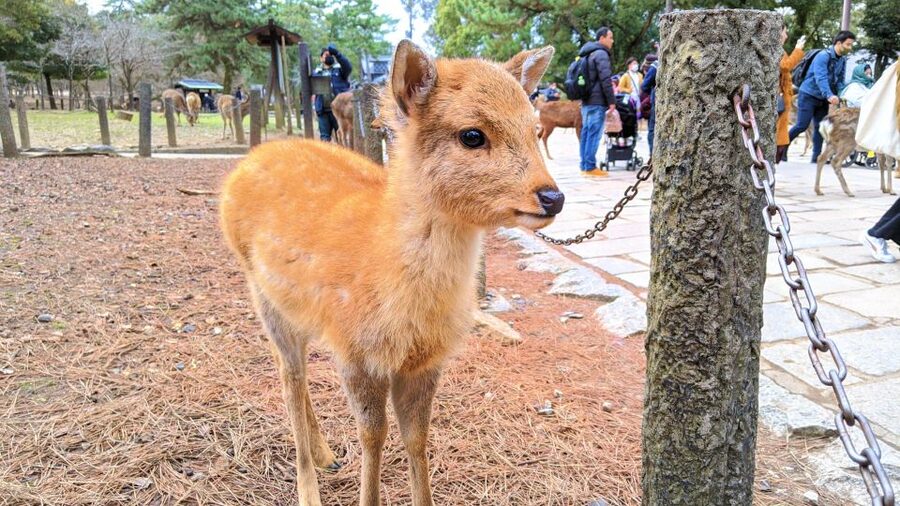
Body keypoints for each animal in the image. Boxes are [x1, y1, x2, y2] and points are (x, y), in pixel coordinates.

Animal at [219, 40, 562, 506]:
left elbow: (416, 438)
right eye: (472, 135)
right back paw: (309, 487)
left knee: (296, 376)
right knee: (290, 378)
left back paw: (327, 455)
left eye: (535, 127)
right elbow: (373, 435)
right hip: (263, 297)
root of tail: (244, 165)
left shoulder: (425, 363)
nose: (553, 197)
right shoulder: (355, 352)